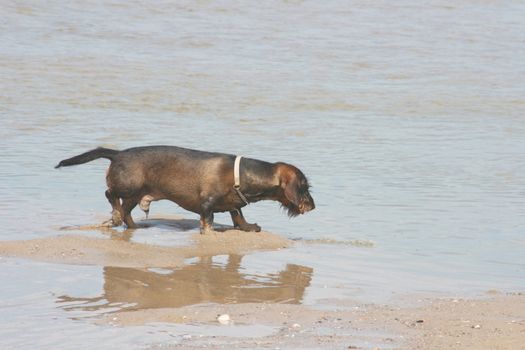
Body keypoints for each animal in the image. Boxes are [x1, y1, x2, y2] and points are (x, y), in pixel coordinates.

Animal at [55, 145, 314, 232]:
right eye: (304, 187)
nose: (313, 207)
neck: (241, 175)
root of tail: (116, 154)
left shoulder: (234, 203)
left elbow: (238, 214)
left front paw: (248, 226)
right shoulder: (207, 204)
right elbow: (208, 220)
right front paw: (210, 233)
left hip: (136, 194)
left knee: (126, 210)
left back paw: (132, 225)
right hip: (129, 187)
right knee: (110, 195)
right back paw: (116, 216)